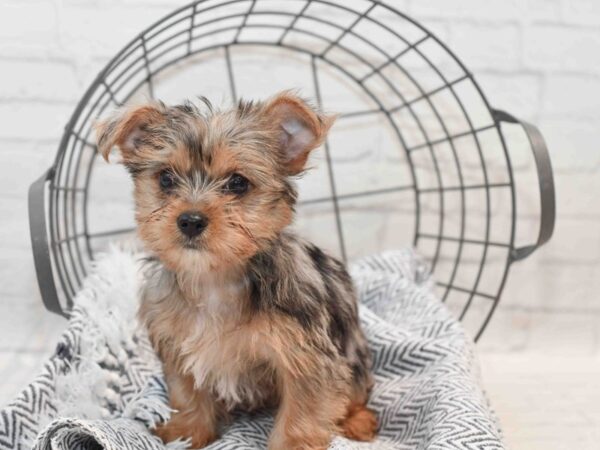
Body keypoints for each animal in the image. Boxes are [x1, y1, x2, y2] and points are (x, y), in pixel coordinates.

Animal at [95, 92, 376, 450]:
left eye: (238, 183)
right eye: (166, 179)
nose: (190, 220)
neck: (216, 279)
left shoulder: (306, 359)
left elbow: (301, 415)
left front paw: (293, 443)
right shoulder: (176, 345)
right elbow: (186, 395)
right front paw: (187, 433)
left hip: (353, 355)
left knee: (355, 390)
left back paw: (358, 421)